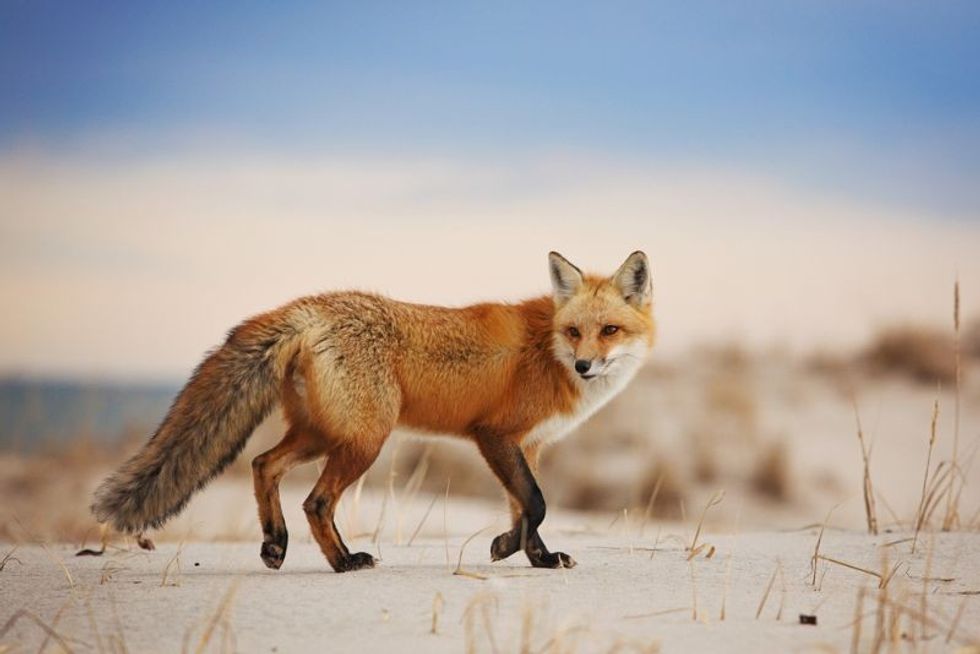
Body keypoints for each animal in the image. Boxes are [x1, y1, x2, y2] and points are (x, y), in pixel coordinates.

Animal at [94, 251, 660, 576]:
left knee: (262, 465)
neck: (546, 349)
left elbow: (524, 508)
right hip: (364, 440)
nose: (585, 365)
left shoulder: (529, 445)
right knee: (316, 502)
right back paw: (344, 562)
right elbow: (536, 504)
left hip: (323, 434)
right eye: (574, 332)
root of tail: (310, 306)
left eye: (609, 330)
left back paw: (275, 544)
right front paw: (508, 548)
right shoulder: (495, 436)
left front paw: (534, 557)